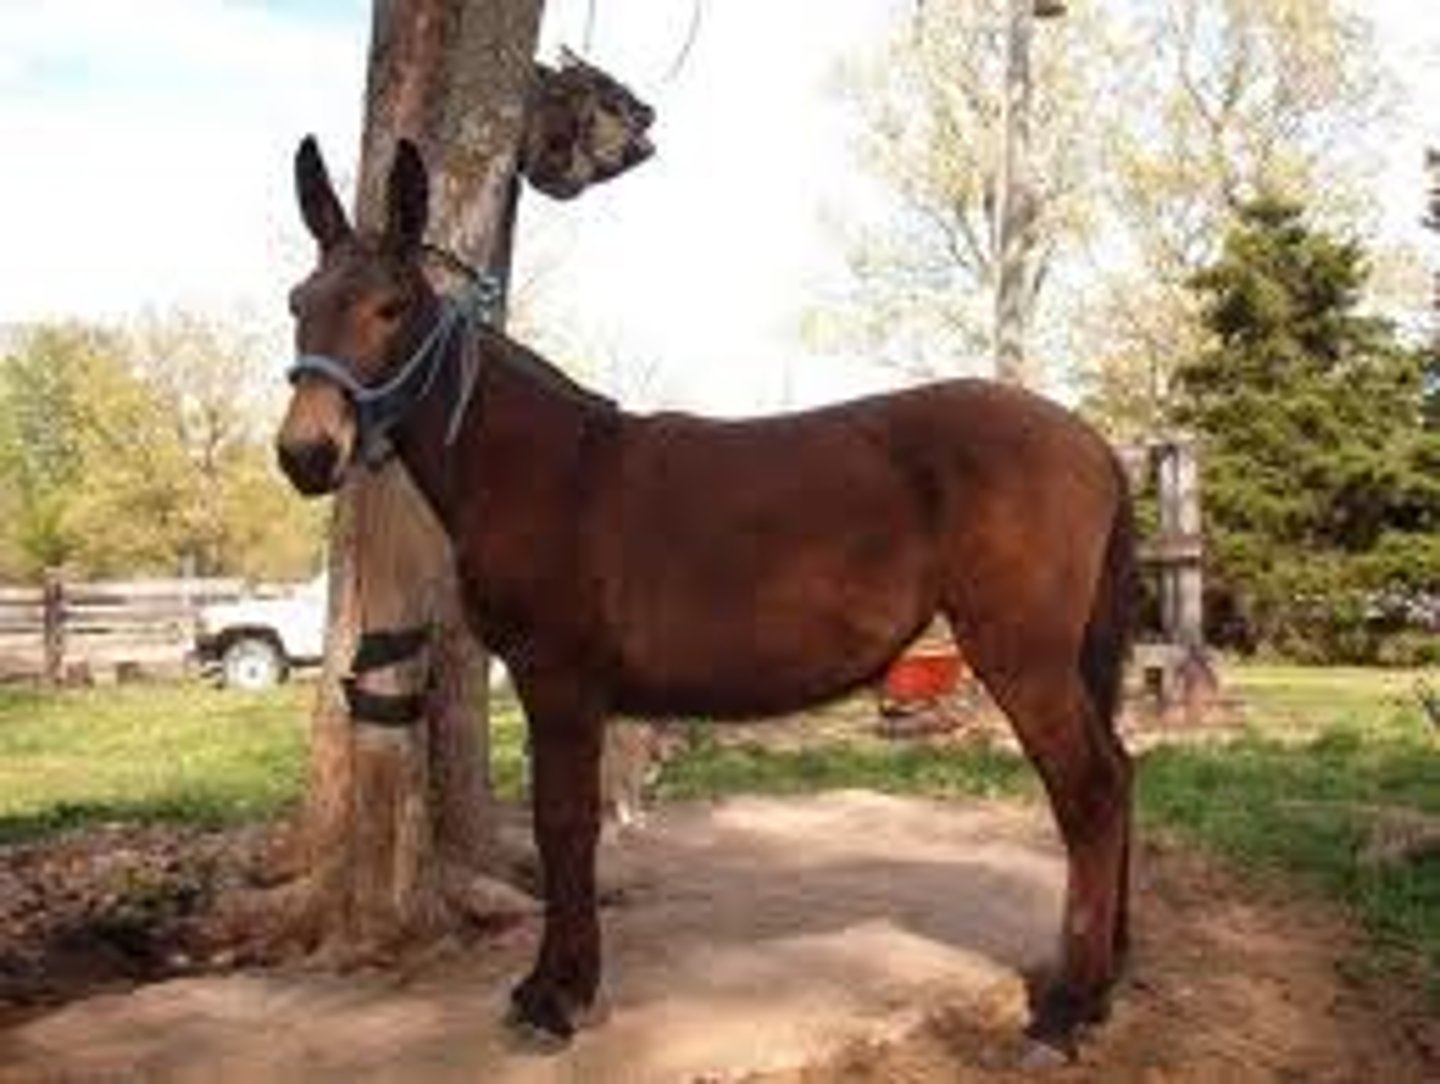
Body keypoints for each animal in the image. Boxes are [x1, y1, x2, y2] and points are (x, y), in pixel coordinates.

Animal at [276, 136, 1137, 1056]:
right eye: (299, 302)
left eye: (392, 308)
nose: (305, 453)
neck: (543, 470)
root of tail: (1091, 441)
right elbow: (569, 828)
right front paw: (558, 984)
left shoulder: (560, 684)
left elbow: (562, 827)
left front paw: (555, 995)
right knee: (1120, 771)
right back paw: (1109, 976)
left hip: (1023, 657)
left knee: (1089, 791)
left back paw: (1068, 1008)